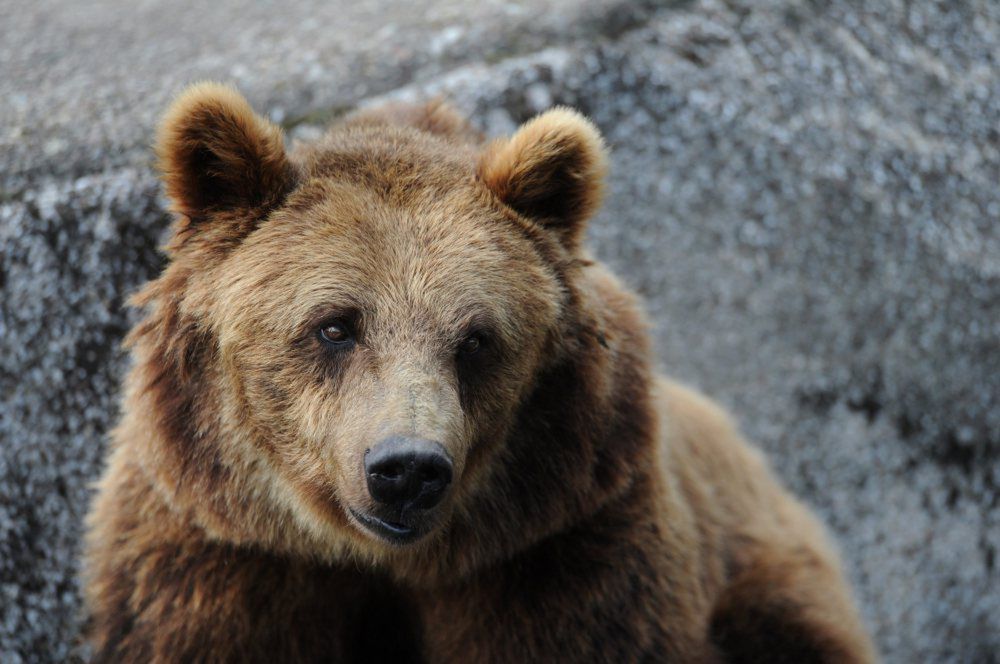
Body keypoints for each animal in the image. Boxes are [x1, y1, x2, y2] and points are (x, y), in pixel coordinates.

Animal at [82, 84, 876, 664]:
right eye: (335, 325)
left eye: (476, 339)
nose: (406, 468)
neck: (378, 559)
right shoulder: (222, 556)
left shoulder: (559, 548)